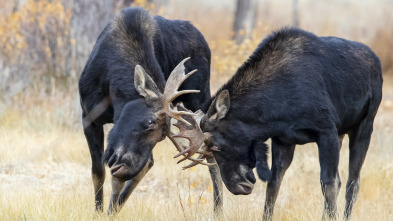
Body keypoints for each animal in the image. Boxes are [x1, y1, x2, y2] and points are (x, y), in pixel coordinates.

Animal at [78, 7, 222, 215]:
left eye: (161, 136)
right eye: (150, 122)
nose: (126, 167)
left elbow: (122, 175)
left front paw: (109, 212)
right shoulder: (88, 116)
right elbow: (98, 171)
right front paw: (99, 211)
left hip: (200, 97)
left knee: (209, 152)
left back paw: (218, 210)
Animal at [179, 28, 382, 220]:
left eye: (215, 145)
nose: (237, 186)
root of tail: (377, 62)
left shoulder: (327, 131)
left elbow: (328, 183)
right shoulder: (283, 140)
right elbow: (274, 184)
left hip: (364, 126)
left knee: (352, 182)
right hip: (342, 134)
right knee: (341, 180)